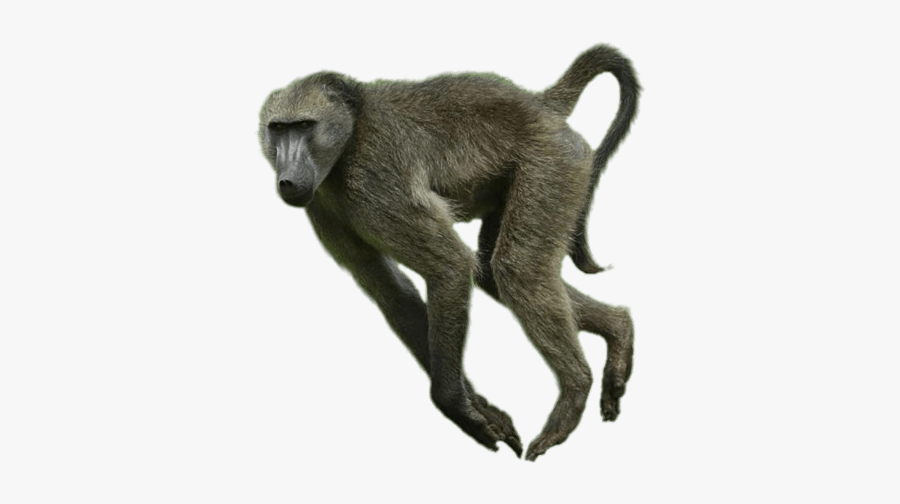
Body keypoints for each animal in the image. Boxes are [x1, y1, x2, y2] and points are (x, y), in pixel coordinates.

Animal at [258, 44, 639, 461]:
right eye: (278, 129)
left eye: (303, 126)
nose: (287, 180)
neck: (351, 132)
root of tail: (539, 103)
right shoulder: (323, 203)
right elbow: (394, 294)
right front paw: (482, 408)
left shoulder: (374, 180)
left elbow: (450, 266)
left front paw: (458, 408)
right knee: (493, 272)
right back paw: (618, 329)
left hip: (554, 161)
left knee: (516, 269)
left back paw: (575, 390)